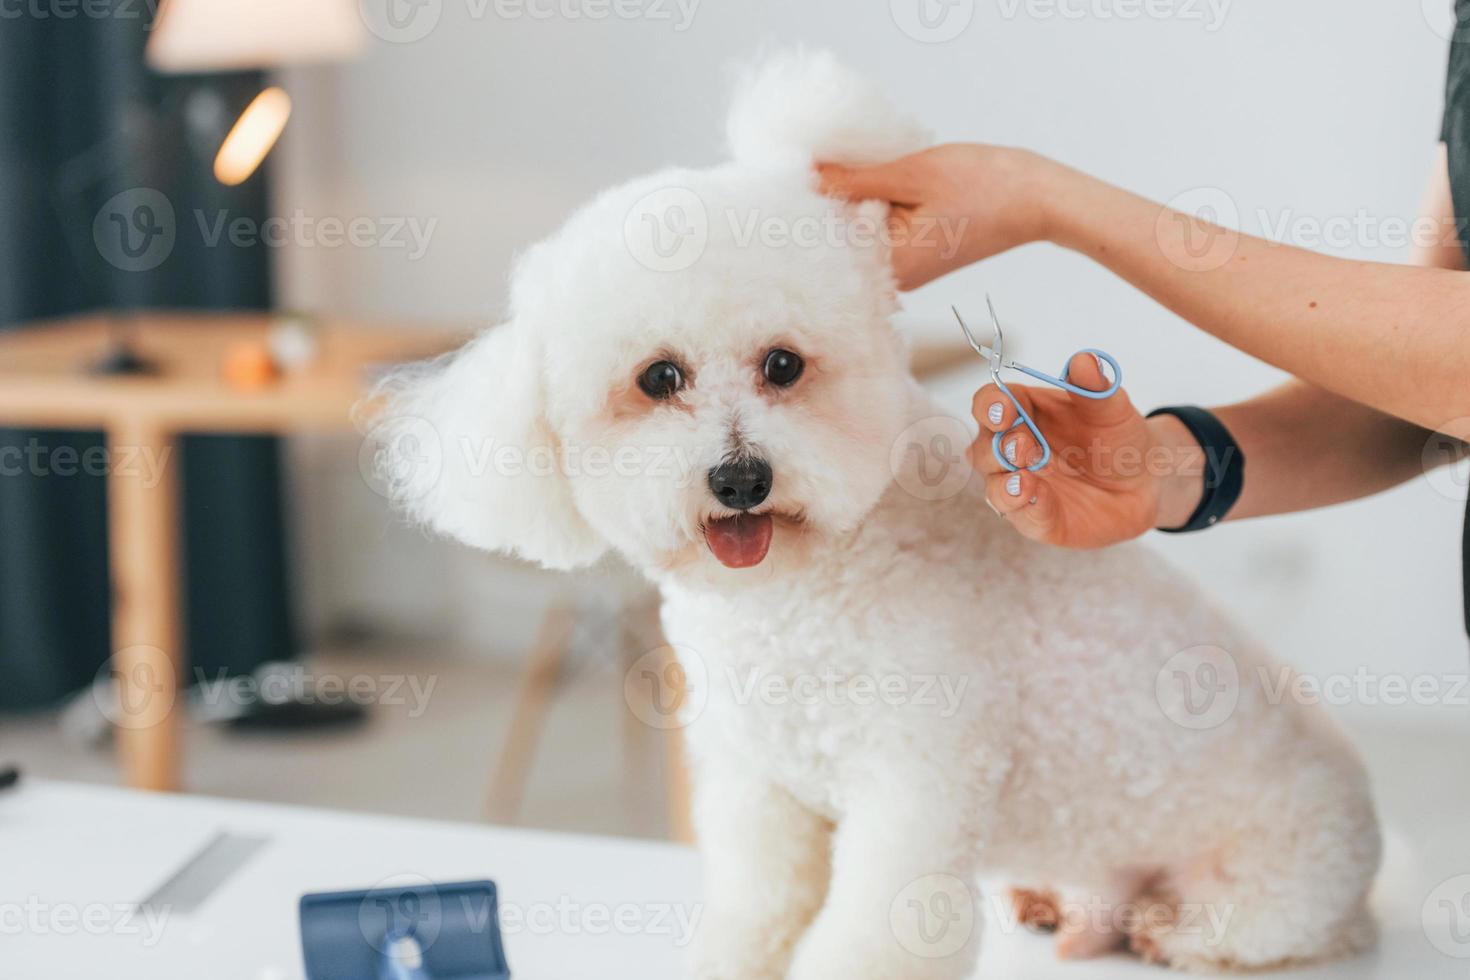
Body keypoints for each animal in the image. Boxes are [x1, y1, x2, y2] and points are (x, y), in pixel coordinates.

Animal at [373, 49, 1381, 975]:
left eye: (783, 365)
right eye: (659, 378)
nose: (741, 479)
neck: (805, 591)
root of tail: (1370, 857)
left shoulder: (914, 787)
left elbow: (869, 932)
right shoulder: (757, 783)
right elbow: (756, 907)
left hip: (1266, 889)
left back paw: (1171, 929)